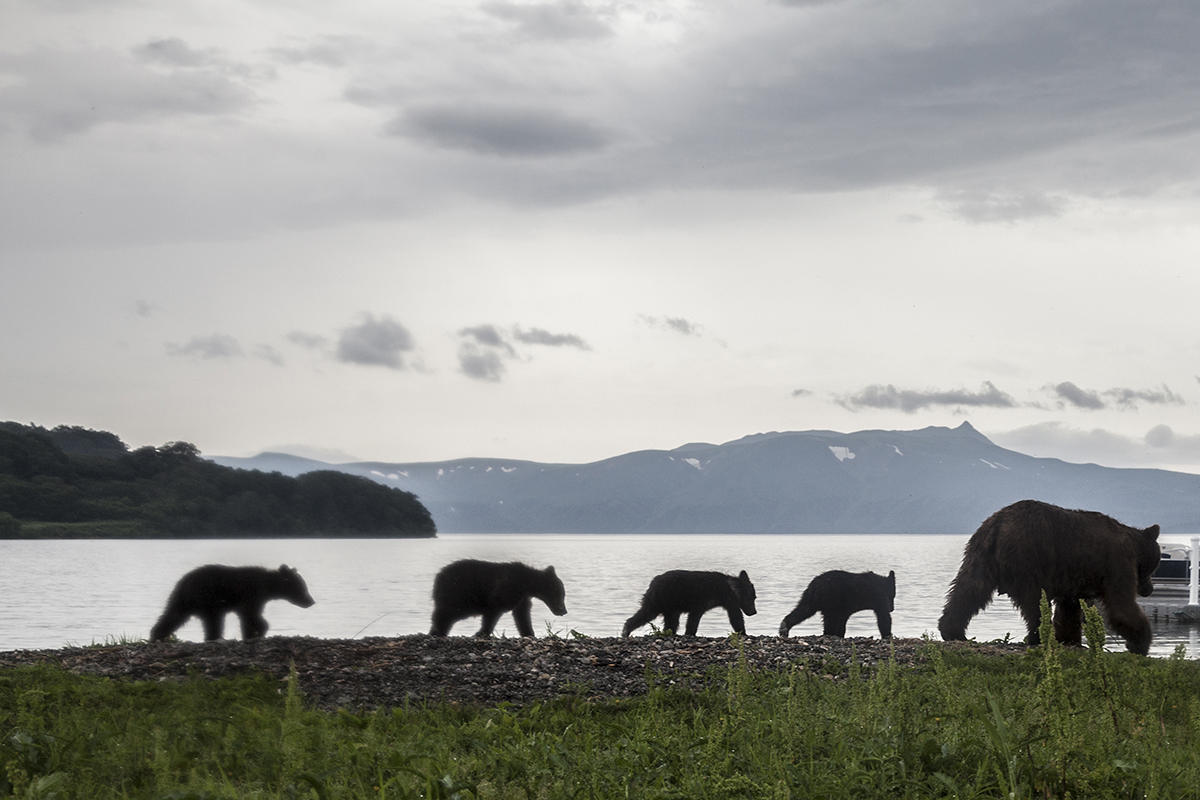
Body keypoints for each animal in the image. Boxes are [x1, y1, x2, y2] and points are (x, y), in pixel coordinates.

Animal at [149, 563, 314, 642]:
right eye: (303, 588)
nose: (311, 601)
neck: (268, 586)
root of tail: (182, 583)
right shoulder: (251, 594)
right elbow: (250, 614)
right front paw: (257, 631)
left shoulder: (257, 598)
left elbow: (250, 616)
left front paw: (252, 633)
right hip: (208, 600)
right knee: (214, 621)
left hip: (183, 601)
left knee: (173, 616)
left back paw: (157, 635)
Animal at [427, 561, 566, 633]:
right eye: (561, 594)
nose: (564, 611)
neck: (526, 584)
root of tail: (438, 577)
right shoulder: (505, 591)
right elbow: (493, 612)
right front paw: (481, 632)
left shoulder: (522, 599)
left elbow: (522, 617)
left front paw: (529, 633)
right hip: (459, 597)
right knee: (445, 615)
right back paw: (437, 630)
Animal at [624, 568, 753, 638]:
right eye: (751, 598)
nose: (754, 612)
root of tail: (653, 582)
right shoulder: (704, 601)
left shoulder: (725, 602)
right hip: (662, 599)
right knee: (648, 613)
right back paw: (626, 630)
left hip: (669, 606)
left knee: (669, 621)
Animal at [940, 501, 1156, 657]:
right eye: (1154, 566)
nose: (1149, 589)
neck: (1134, 547)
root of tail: (999, 523)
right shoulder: (1116, 562)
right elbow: (1121, 605)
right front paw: (1140, 643)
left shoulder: (1073, 579)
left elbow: (1069, 609)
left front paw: (1068, 638)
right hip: (1028, 556)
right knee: (1034, 602)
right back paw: (1039, 636)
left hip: (980, 554)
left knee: (969, 590)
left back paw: (951, 630)